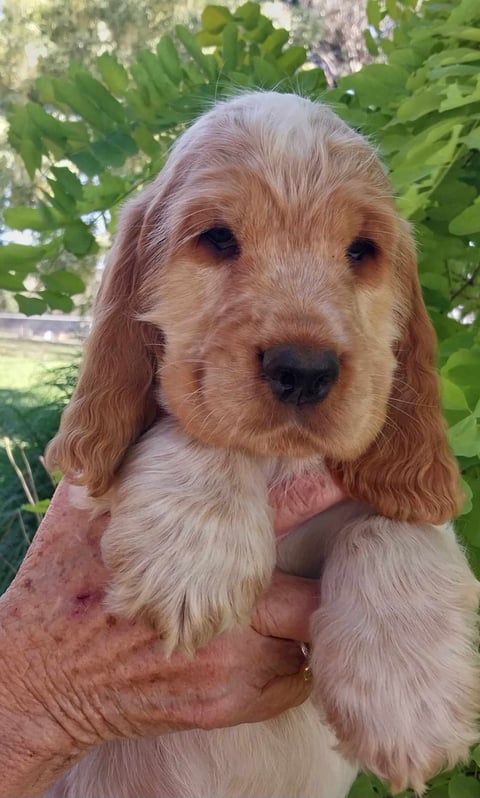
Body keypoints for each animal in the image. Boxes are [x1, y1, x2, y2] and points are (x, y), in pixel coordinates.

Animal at [46, 95, 480, 798]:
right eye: (219, 238)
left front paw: (408, 700)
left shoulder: (390, 489)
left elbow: (391, 524)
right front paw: (192, 559)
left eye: (362, 249)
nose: (303, 370)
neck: (279, 461)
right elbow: (195, 420)